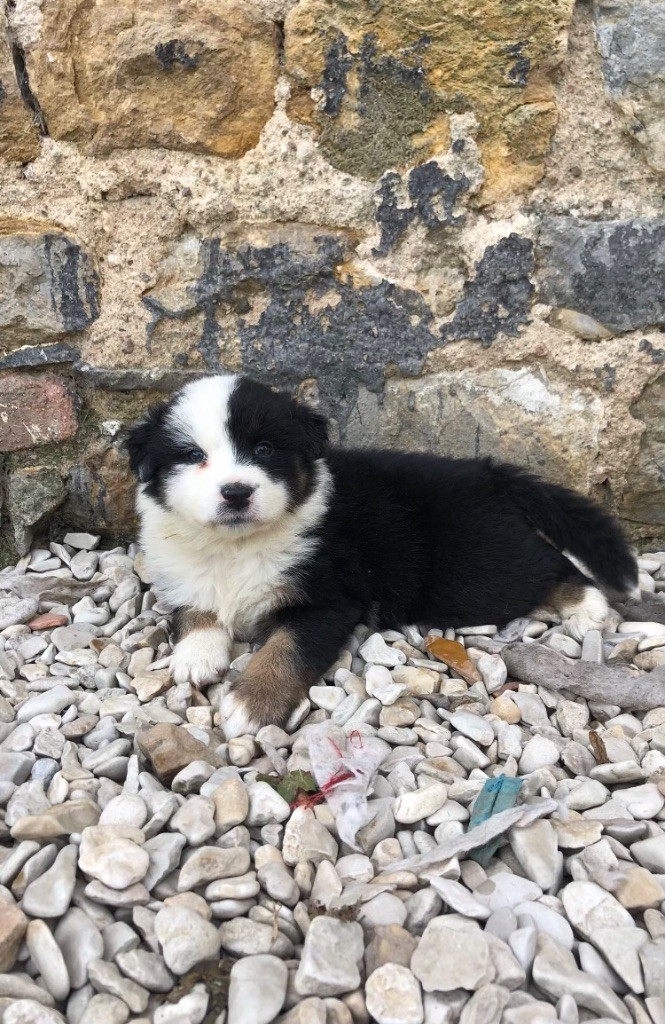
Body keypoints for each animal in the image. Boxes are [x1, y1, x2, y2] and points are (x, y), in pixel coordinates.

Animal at [126, 374, 639, 737]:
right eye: (192, 455)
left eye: (265, 448)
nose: (235, 492)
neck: (237, 546)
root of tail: (491, 474)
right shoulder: (181, 567)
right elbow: (193, 608)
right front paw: (196, 655)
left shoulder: (328, 598)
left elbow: (284, 651)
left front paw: (251, 704)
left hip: (479, 571)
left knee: (550, 564)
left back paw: (587, 606)